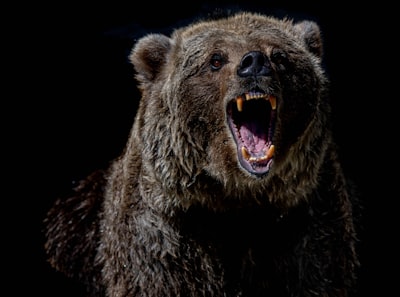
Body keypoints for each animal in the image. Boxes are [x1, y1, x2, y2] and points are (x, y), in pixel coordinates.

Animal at [43, 11, 362, 296]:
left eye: (280, 56)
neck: (235, 199)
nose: (254, 63)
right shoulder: (163, 239)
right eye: (215, 60)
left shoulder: (307, 228)